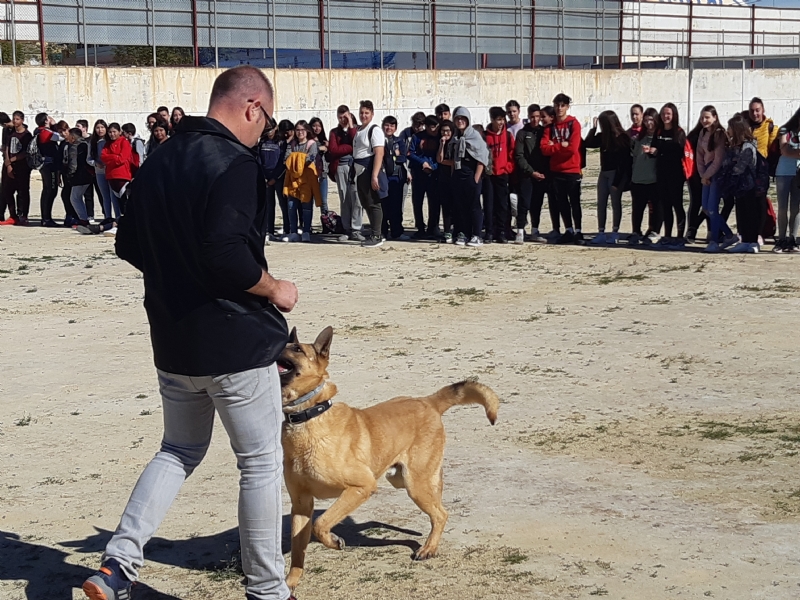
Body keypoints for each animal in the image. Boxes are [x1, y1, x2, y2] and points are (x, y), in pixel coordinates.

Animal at [278, 326, 496, 588]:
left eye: (297, 348)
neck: (308, 417)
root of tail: (427, 401)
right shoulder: (301, 503)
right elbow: (298, 547)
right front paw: (290, 581)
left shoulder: (362, 486)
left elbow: (320, 524)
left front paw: (334, 541)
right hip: (401, 478)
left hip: (415, 484)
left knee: (441, 514)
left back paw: (429, 549)